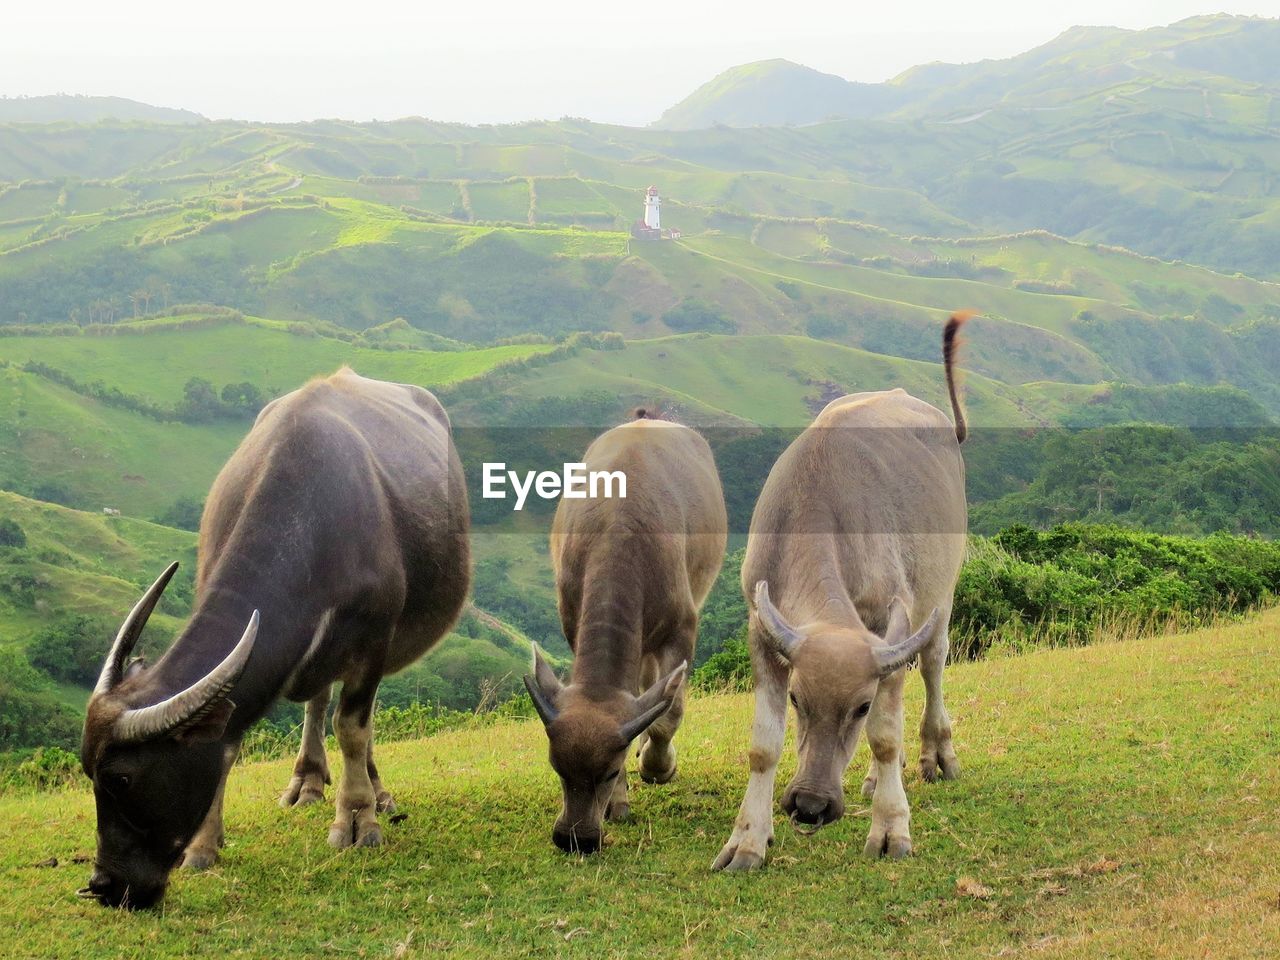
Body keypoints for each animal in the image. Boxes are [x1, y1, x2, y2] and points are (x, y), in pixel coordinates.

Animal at [78, 368, 471, 911]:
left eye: (121, 777)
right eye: (88, 775)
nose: (105, 885)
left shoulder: (374, 636)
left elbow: (353, 727)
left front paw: (358, 820)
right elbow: (228, 743)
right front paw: (204, 844)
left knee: (354, 715)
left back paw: (375, 791)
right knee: (319, 699)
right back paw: (307, 781)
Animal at [522, 409, 727, 855]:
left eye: (610, 771)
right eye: (556, 768)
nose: (574, 838)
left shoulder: (682, 627)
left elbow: (669, 712)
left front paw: (657, 767)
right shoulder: (572, 622)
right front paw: (619, 803)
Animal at [711, 313, 967, 870]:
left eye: (861, 706)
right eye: (797, 699)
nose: (810, 805)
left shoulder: (891, 630)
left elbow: (886, 735)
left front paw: (892, 828)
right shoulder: (761, 630)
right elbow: (764, 744)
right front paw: (747, 839)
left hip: (942, 593)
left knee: (933, 663)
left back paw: (936, 753)